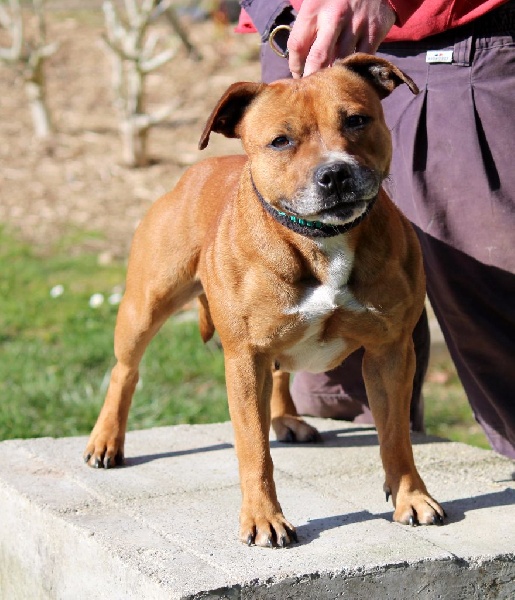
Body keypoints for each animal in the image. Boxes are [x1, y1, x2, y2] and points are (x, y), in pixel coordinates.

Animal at [84, 53, 445, 547]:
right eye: (280, 140)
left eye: (356, 120)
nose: (335, 173)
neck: (322, 239)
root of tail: (191, 174)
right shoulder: (244, 357)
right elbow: (254, 449)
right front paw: (263, 517)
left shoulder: (390, 353)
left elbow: (395, 437)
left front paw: (411, 496)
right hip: (145, 307)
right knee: (125, 371)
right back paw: (106, 441)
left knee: (279, 375)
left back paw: (286, 420)